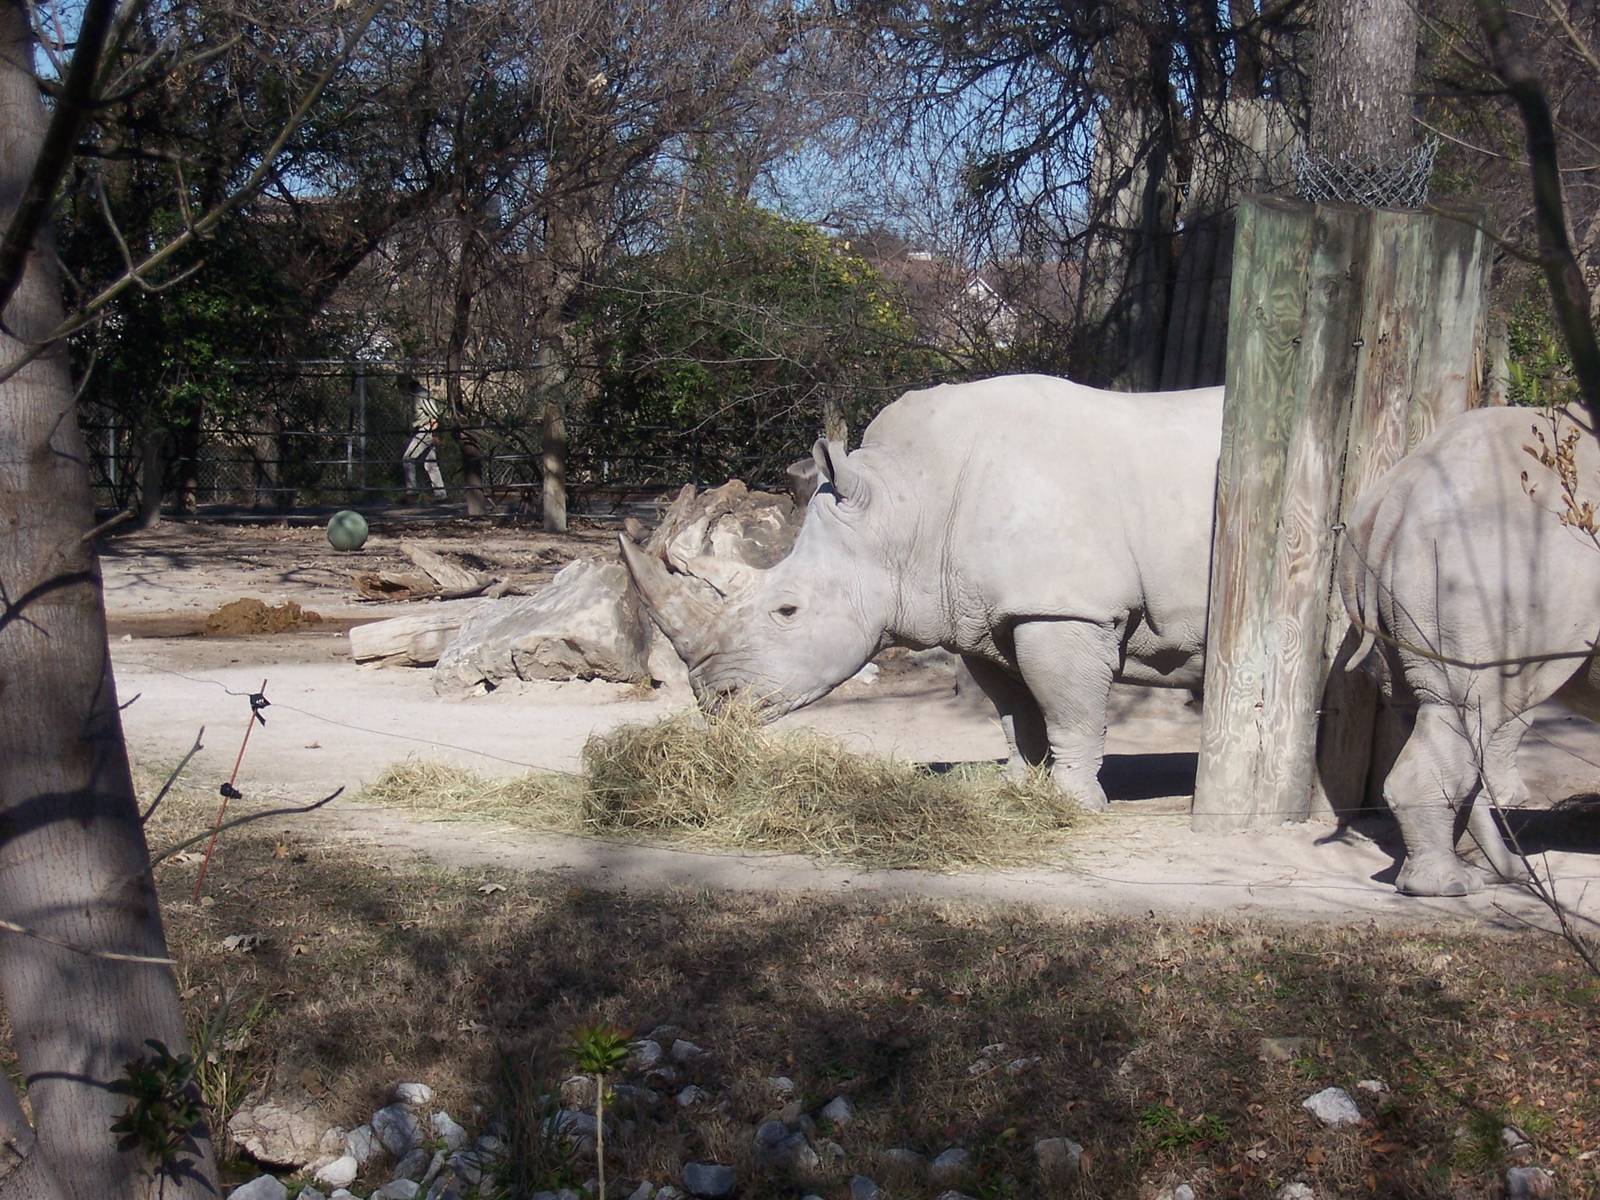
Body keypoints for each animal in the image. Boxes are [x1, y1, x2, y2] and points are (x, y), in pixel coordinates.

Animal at [620, 374, 1225, 810]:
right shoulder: (983, 615)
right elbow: (1015, 712)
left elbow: (1069, 712)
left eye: (787, 610)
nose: (713, 702)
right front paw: (1014, 786)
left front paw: (1076, 806)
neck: (906, 505)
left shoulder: (1063, 609)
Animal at [1339, 402, 1600, 897]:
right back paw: (1450, 887)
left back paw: (1507, 875)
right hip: (1490, 554)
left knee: (1435, 712)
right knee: (1471, 705)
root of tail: (1398, 492)